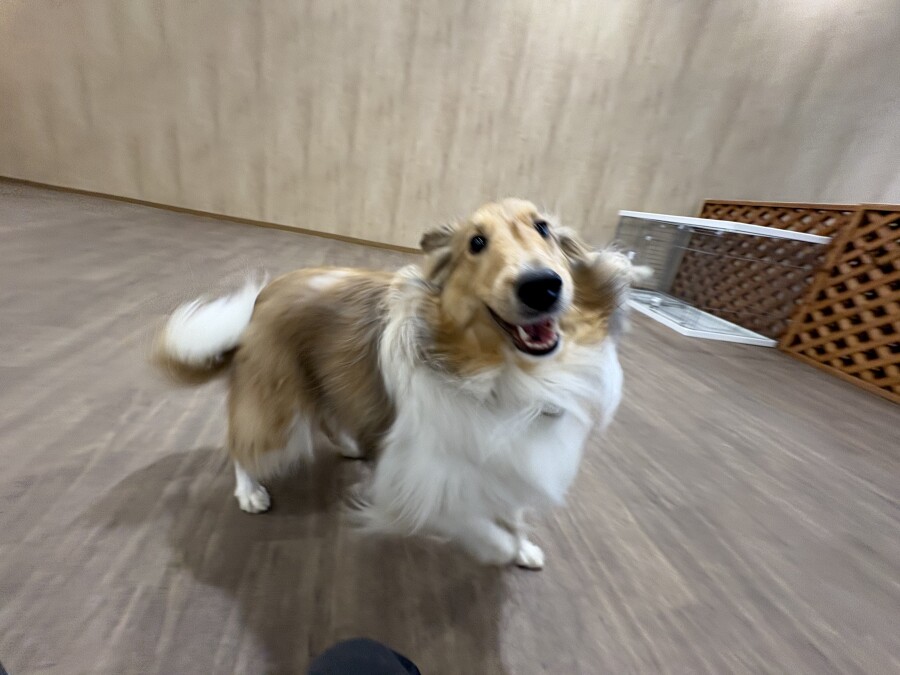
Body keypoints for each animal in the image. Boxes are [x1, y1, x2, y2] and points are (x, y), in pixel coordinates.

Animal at [153, 198, 646, 568]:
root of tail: (263, 296)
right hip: (277, 408)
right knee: (243, 444)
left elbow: (513, 510)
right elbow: (472, 519)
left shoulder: (513, 456)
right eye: (476, 243)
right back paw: (250, 492)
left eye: (543, 228)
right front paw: (500, 549)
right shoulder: (417, 475)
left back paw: (349, 444)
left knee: (327, 415)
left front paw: (522, 545)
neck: (506, 376)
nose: (541, 285)